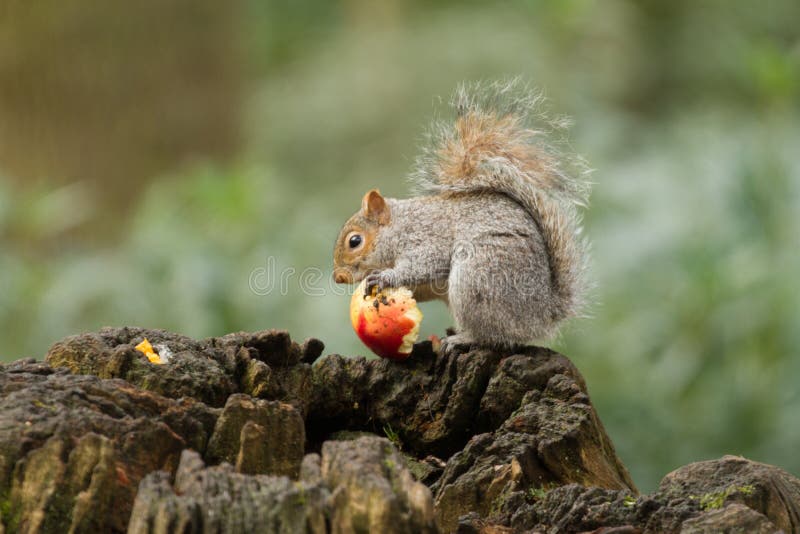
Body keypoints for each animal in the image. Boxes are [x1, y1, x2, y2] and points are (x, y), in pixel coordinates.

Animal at [333, 80, 591, 351]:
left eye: (355, 241)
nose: (338, 277)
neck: (400, 226)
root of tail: (540, 318)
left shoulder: (426, 239)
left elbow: (425, 264)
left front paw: (385, 277)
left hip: (477, 280)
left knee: (491, 335)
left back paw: (461, 338)